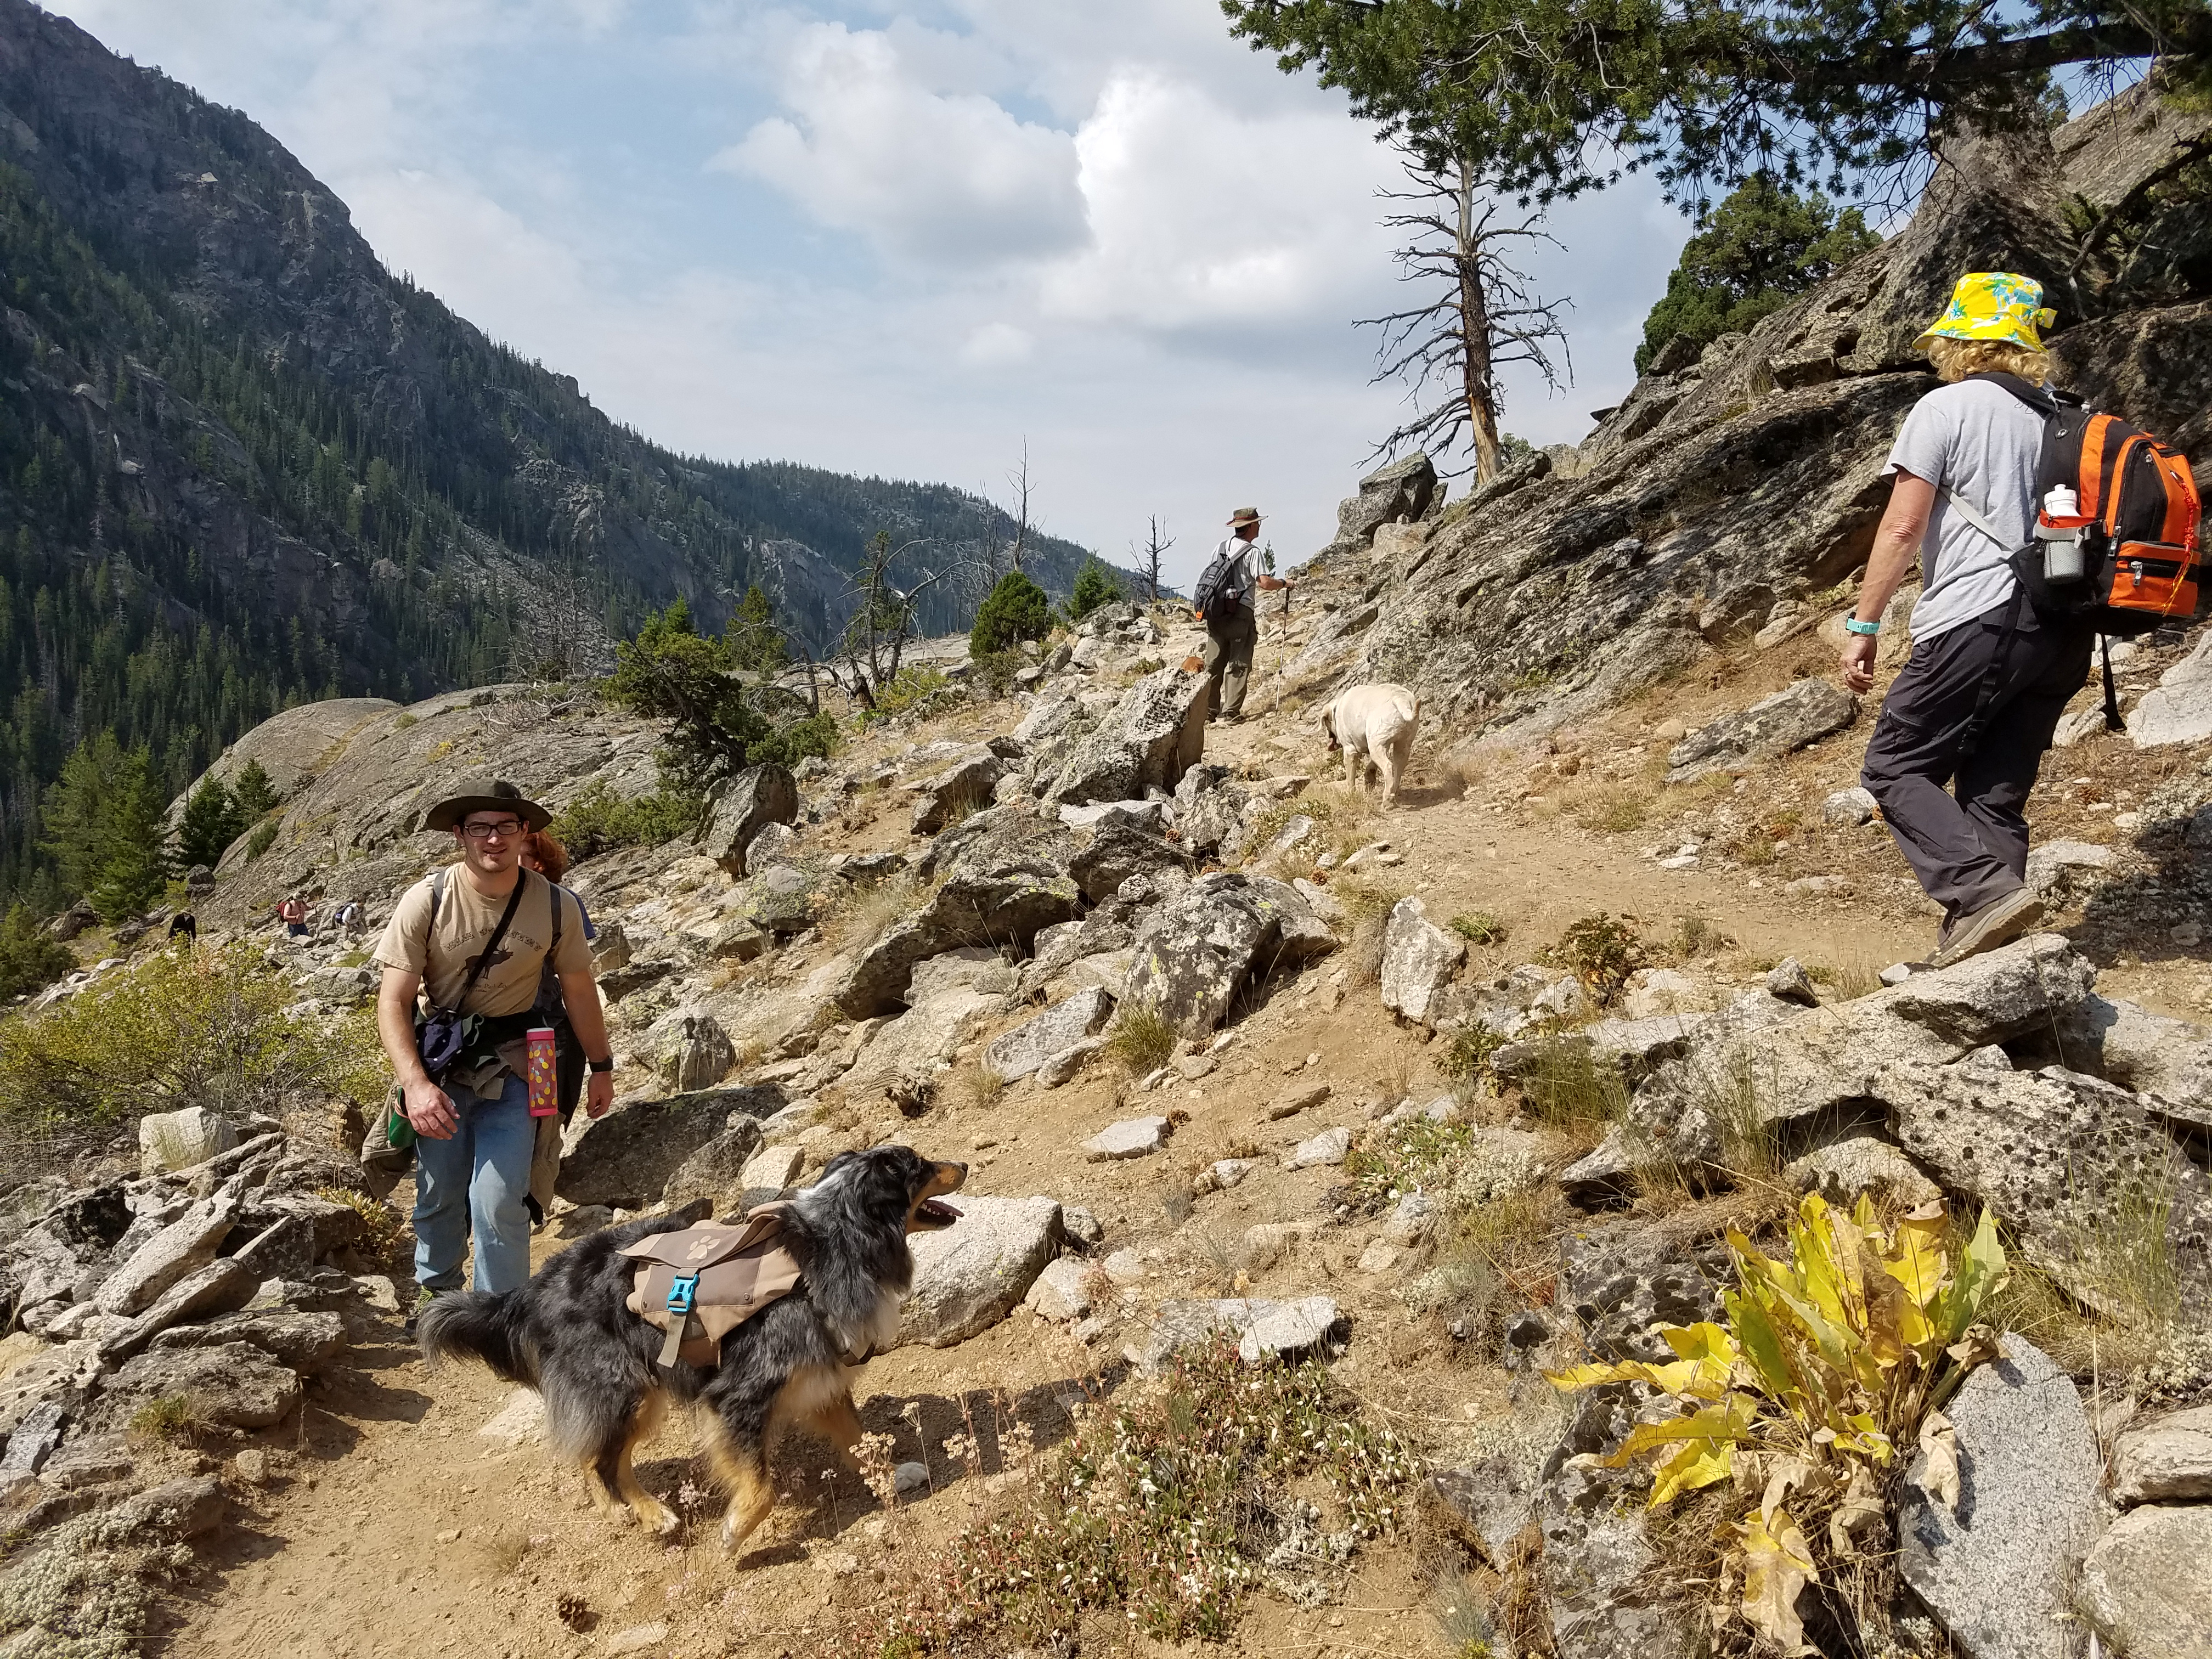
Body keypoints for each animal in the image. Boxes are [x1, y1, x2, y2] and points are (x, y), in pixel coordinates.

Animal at [1318, 685, 1424, 809]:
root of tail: (1400, 699)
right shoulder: (1380, 745)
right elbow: (1371, 766)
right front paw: (1369, 780)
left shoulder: (1350, 751)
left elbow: (1350, 779)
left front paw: (1351, 794)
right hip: (1401, 745)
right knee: (1397, 769)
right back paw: (1393, 794)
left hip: (1377, 745)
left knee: (1388, 767)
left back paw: (1387, 800)